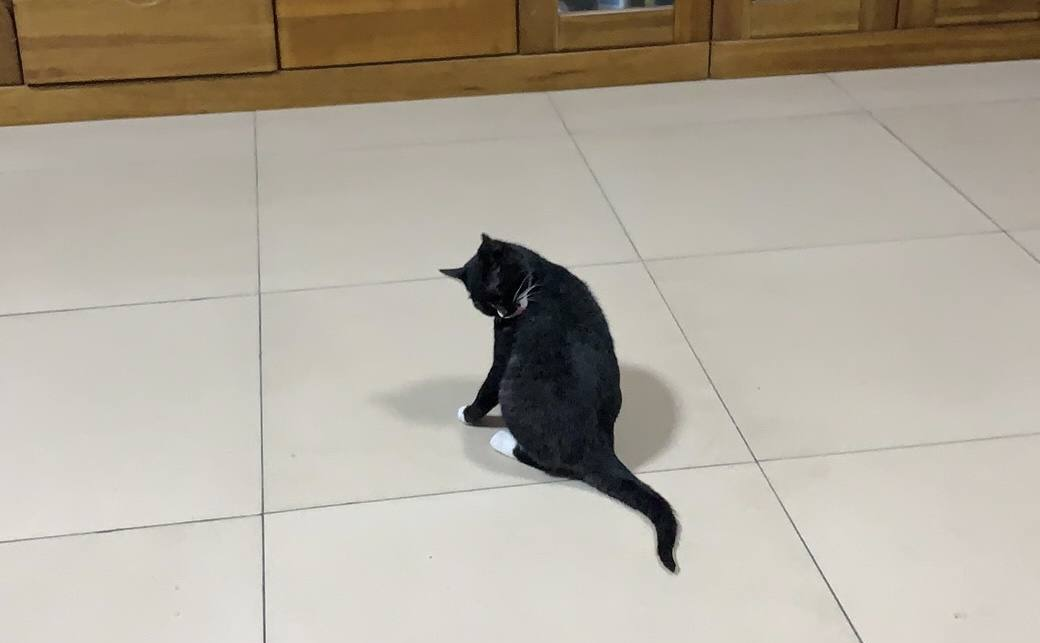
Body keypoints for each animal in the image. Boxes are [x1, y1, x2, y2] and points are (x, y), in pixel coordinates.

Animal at [441, 234, 679, 572]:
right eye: (484, 307)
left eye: (497, 295)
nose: (505, 313)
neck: (541, 274)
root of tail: (600, 449)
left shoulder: (505, 348)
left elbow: (487, 387)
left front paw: (467, 413)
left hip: (514, 393)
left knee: (546, 462)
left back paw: (501, 439)